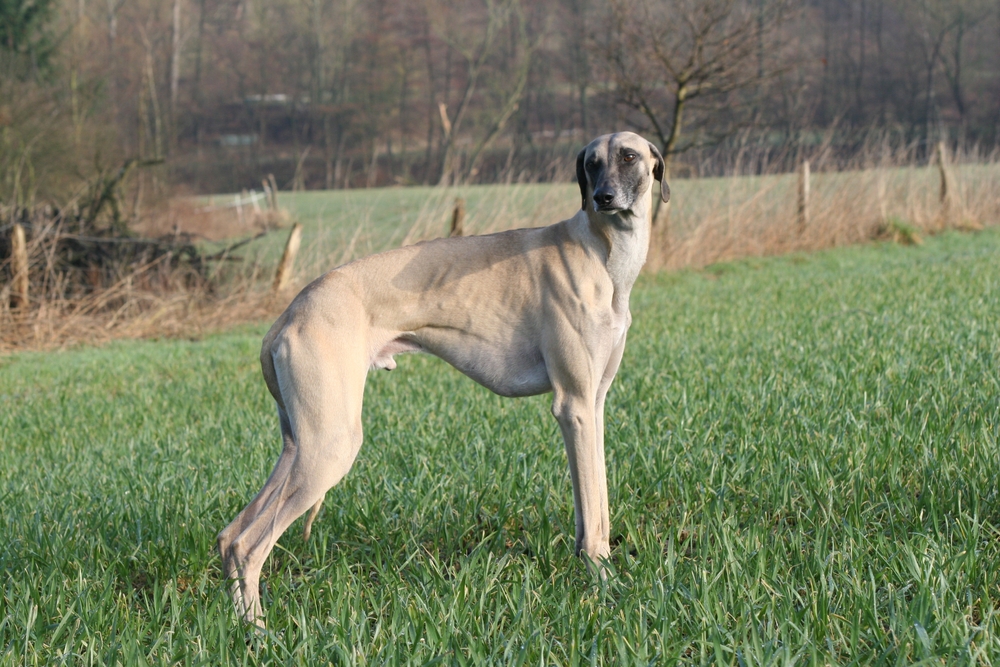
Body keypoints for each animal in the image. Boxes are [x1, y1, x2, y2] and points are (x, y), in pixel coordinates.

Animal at [220, 132, 672, 628]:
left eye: (628, 156)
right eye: (591, 163)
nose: (603, 197)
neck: (601, 253)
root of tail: (288, 314)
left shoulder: (593, 405)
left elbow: (595, 502)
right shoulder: (572, 405)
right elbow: (592, 516)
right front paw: (603, 581)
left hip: (300, 444)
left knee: (230, 535)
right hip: (331, 445)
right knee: (248, 544)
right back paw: (258, 632)